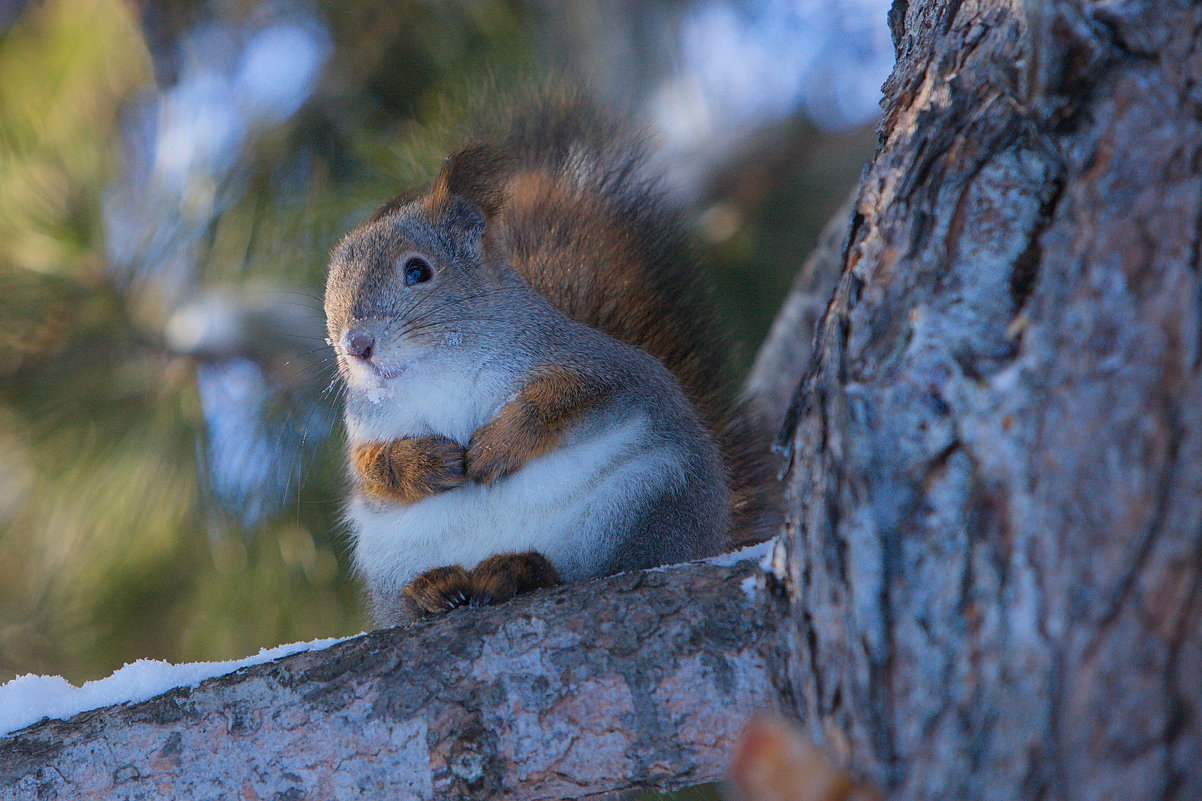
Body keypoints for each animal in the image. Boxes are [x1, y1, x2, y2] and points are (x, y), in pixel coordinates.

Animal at [324, 93, 778, 625]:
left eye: (418, 271)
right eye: (330, 291)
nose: (356, 345)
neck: (437, 373)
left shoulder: (602, 367)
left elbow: (566, 400)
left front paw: (496, 445)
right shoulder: (366, 426)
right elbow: (370, 470)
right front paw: (423, 462)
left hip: (647, 502)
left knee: (598, 567)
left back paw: (523, 570)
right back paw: (432, 589)